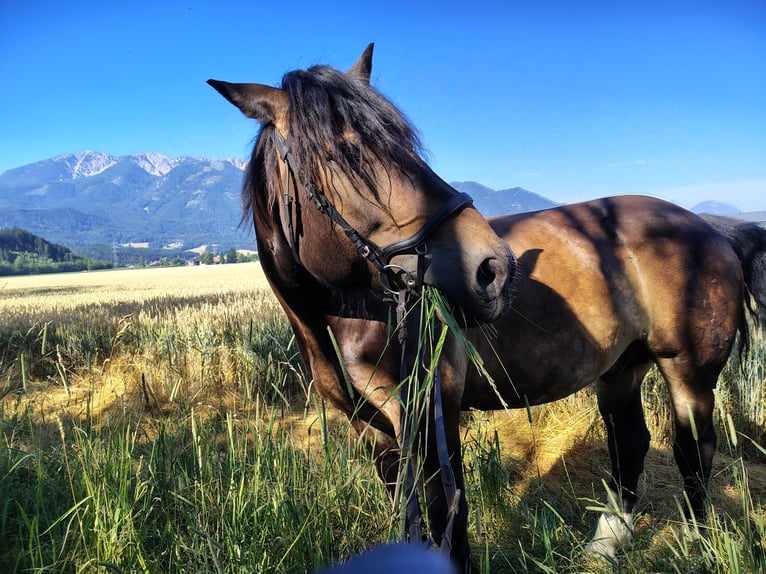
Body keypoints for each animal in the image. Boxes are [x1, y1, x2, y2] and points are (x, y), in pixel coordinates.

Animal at [209, 45, 766, 571]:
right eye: (345, 152)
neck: (347, 315)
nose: (495, 267)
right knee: (630, 443)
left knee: (694, 452)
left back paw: (692, 543)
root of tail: (710, 227)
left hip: (688, 374)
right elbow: (406, 509)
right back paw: (606, 546)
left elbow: (448, 520)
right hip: (620, 370)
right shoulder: (374, 430)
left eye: (405, 144)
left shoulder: (431, 416)